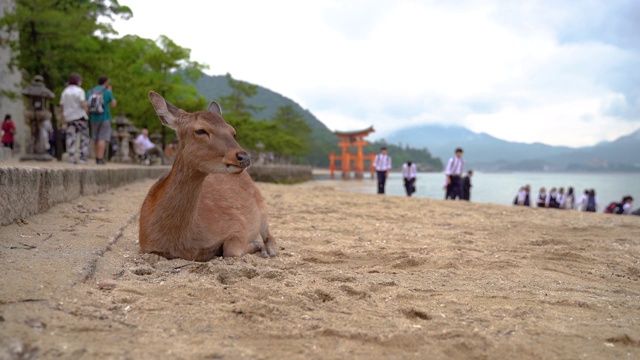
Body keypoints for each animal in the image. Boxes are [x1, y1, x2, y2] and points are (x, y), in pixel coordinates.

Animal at [138, 91, 278, 260]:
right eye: (200, 130)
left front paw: (256, 245)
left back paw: (269, 249)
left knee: (269, 234)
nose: (244, 157)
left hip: (263, 208)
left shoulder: (237, 222)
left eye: (233, 132)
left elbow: (231, 250)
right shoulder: (145, 246)